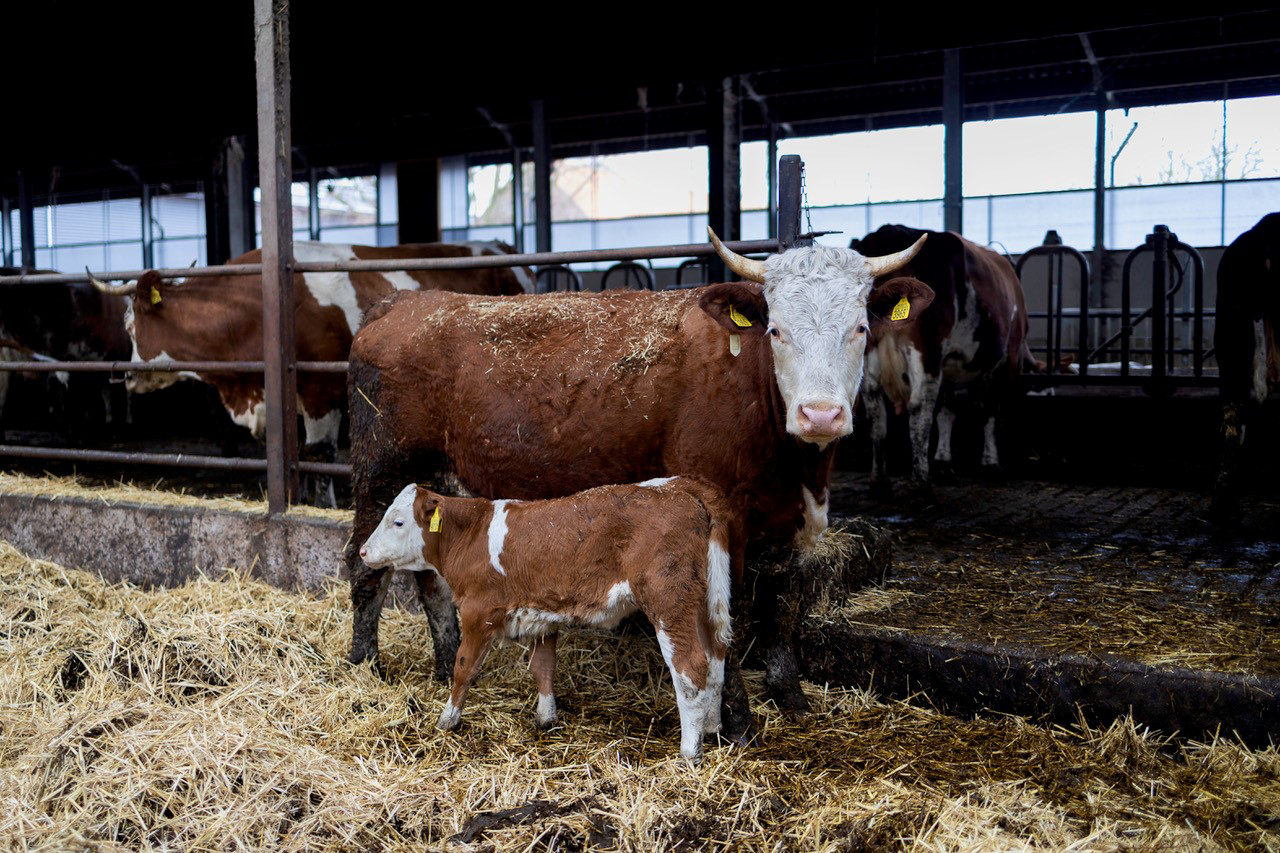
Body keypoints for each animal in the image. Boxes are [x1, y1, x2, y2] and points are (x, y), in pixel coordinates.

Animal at [355, 473, 737, 758]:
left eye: (398, 521)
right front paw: (546, 717)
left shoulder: (478, 612)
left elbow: (464, 667)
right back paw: (712, 728)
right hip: (703, 602)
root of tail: (677, 484)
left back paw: (689, 751)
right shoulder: (541, 618)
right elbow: (543, 667)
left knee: (690, 668)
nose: (362, 551)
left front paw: (447, 719)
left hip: (668, 601)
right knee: (716, 659)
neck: (471, 535)